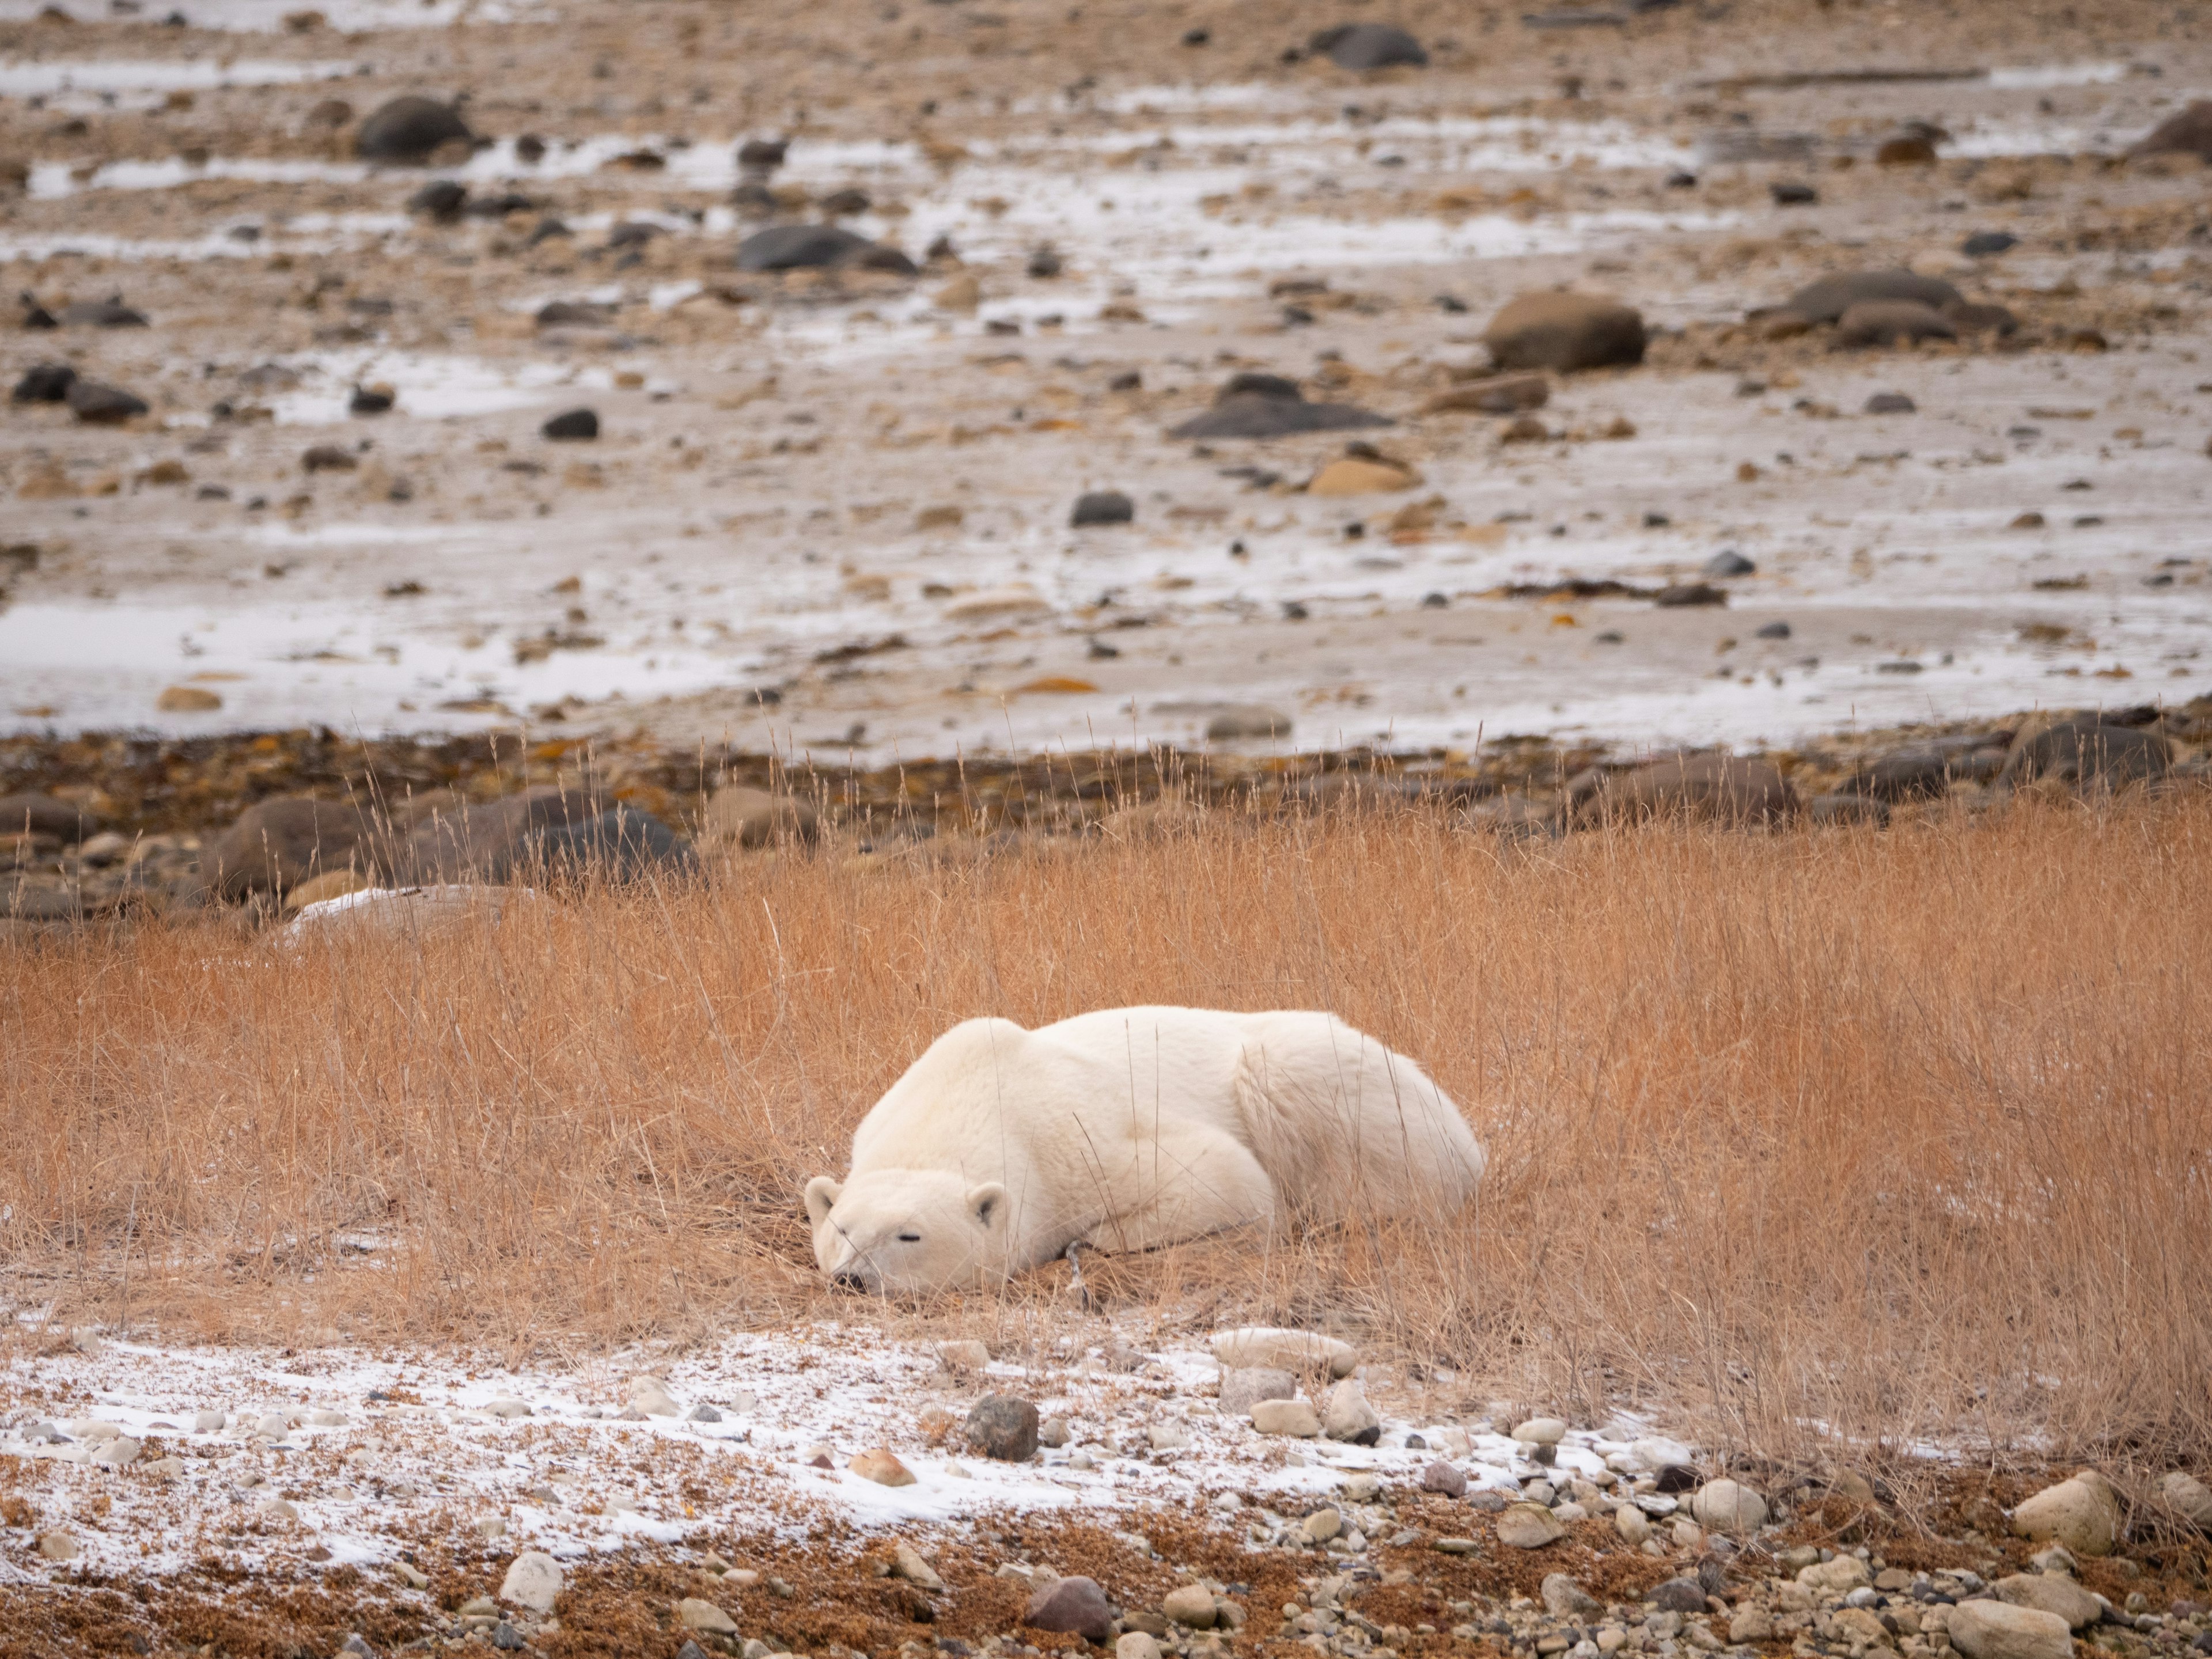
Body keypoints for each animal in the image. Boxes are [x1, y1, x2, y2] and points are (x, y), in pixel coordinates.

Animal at [805, 1009, 1478, 1309]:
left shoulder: (1073, 1142)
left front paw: (1095, 1238)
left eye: (910, 1235)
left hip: (1319, 1076)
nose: (851, 1278)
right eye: (843, 1229)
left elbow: (1231, 1177)